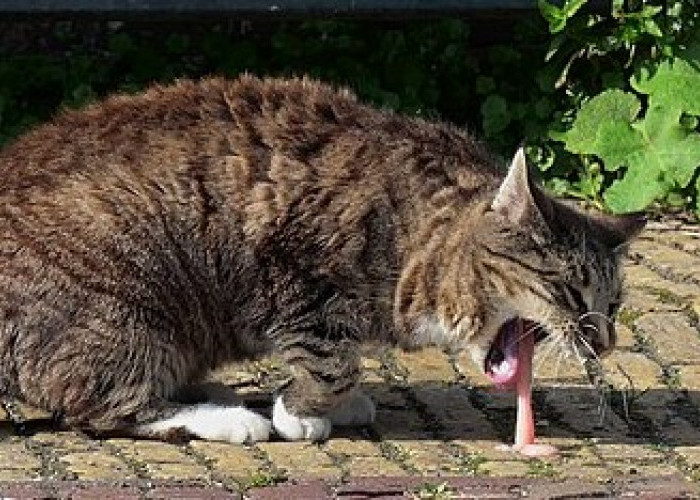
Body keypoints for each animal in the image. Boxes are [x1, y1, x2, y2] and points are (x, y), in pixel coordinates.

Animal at [0, 74, 644, 442]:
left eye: (613, 304)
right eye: (572, 292)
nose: (606, 340)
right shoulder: (294, 272)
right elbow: (331, 359)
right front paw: (302, 412)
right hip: (125, 307)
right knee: (99, 407)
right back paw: (229, 418)